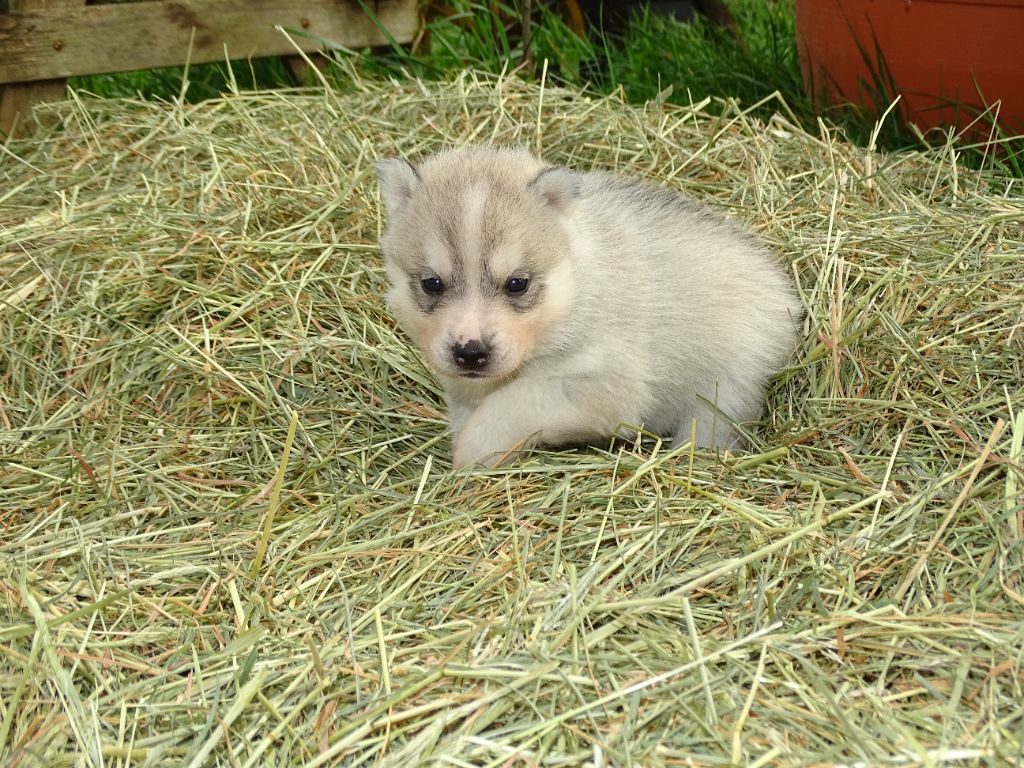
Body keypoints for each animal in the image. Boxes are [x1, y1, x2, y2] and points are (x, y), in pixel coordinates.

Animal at [375, 146, 802, 468]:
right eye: (432, 283)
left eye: (517, 284)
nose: (470, 352)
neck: (574, 294)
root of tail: (782, 289)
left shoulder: (605, 383)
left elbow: (514, 403)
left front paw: (473, 451)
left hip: (728, 385)